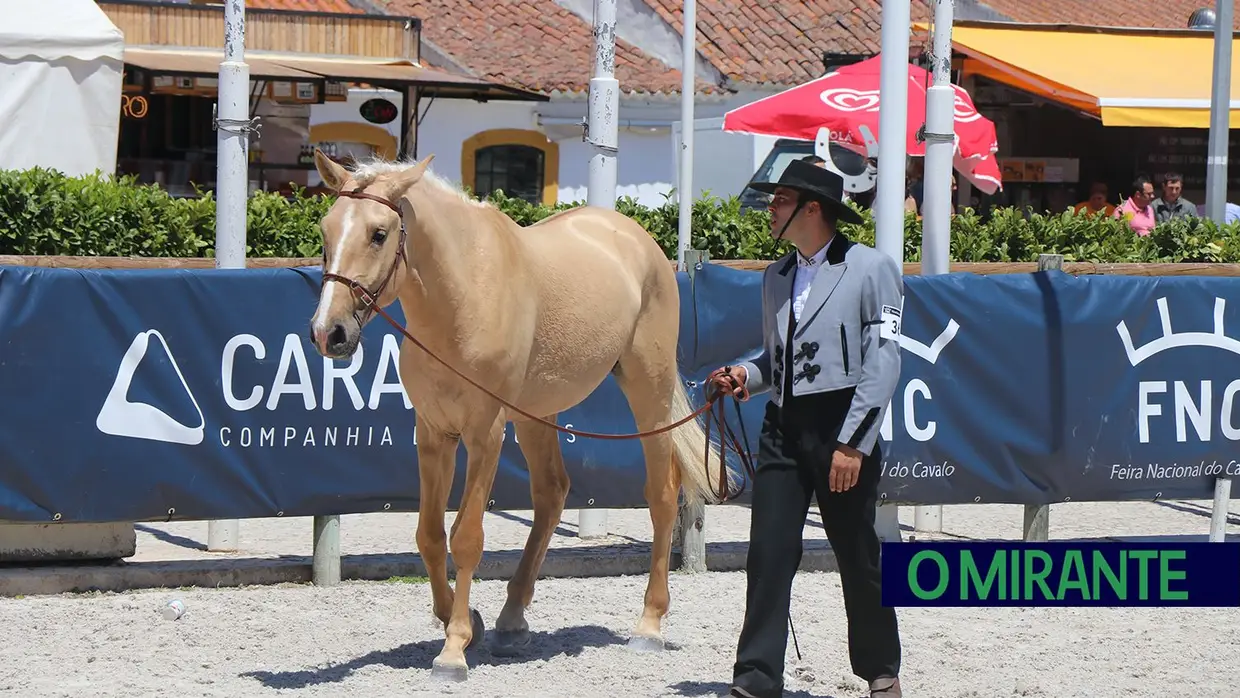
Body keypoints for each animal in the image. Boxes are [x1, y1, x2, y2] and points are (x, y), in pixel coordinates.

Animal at [308, 150, 729, 679]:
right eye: (326, 230)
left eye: (379, 234)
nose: (329, 332)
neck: (463, 296)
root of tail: (636, 238)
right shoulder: (433, 434)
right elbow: (429, 535)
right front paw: (465, 620)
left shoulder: (485, 433)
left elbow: (466, 537)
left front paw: (454, 648)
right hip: (535, 415)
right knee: (552, 494)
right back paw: (511, 621)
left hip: (646, 392)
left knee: (662, 494)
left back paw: (649, 624)